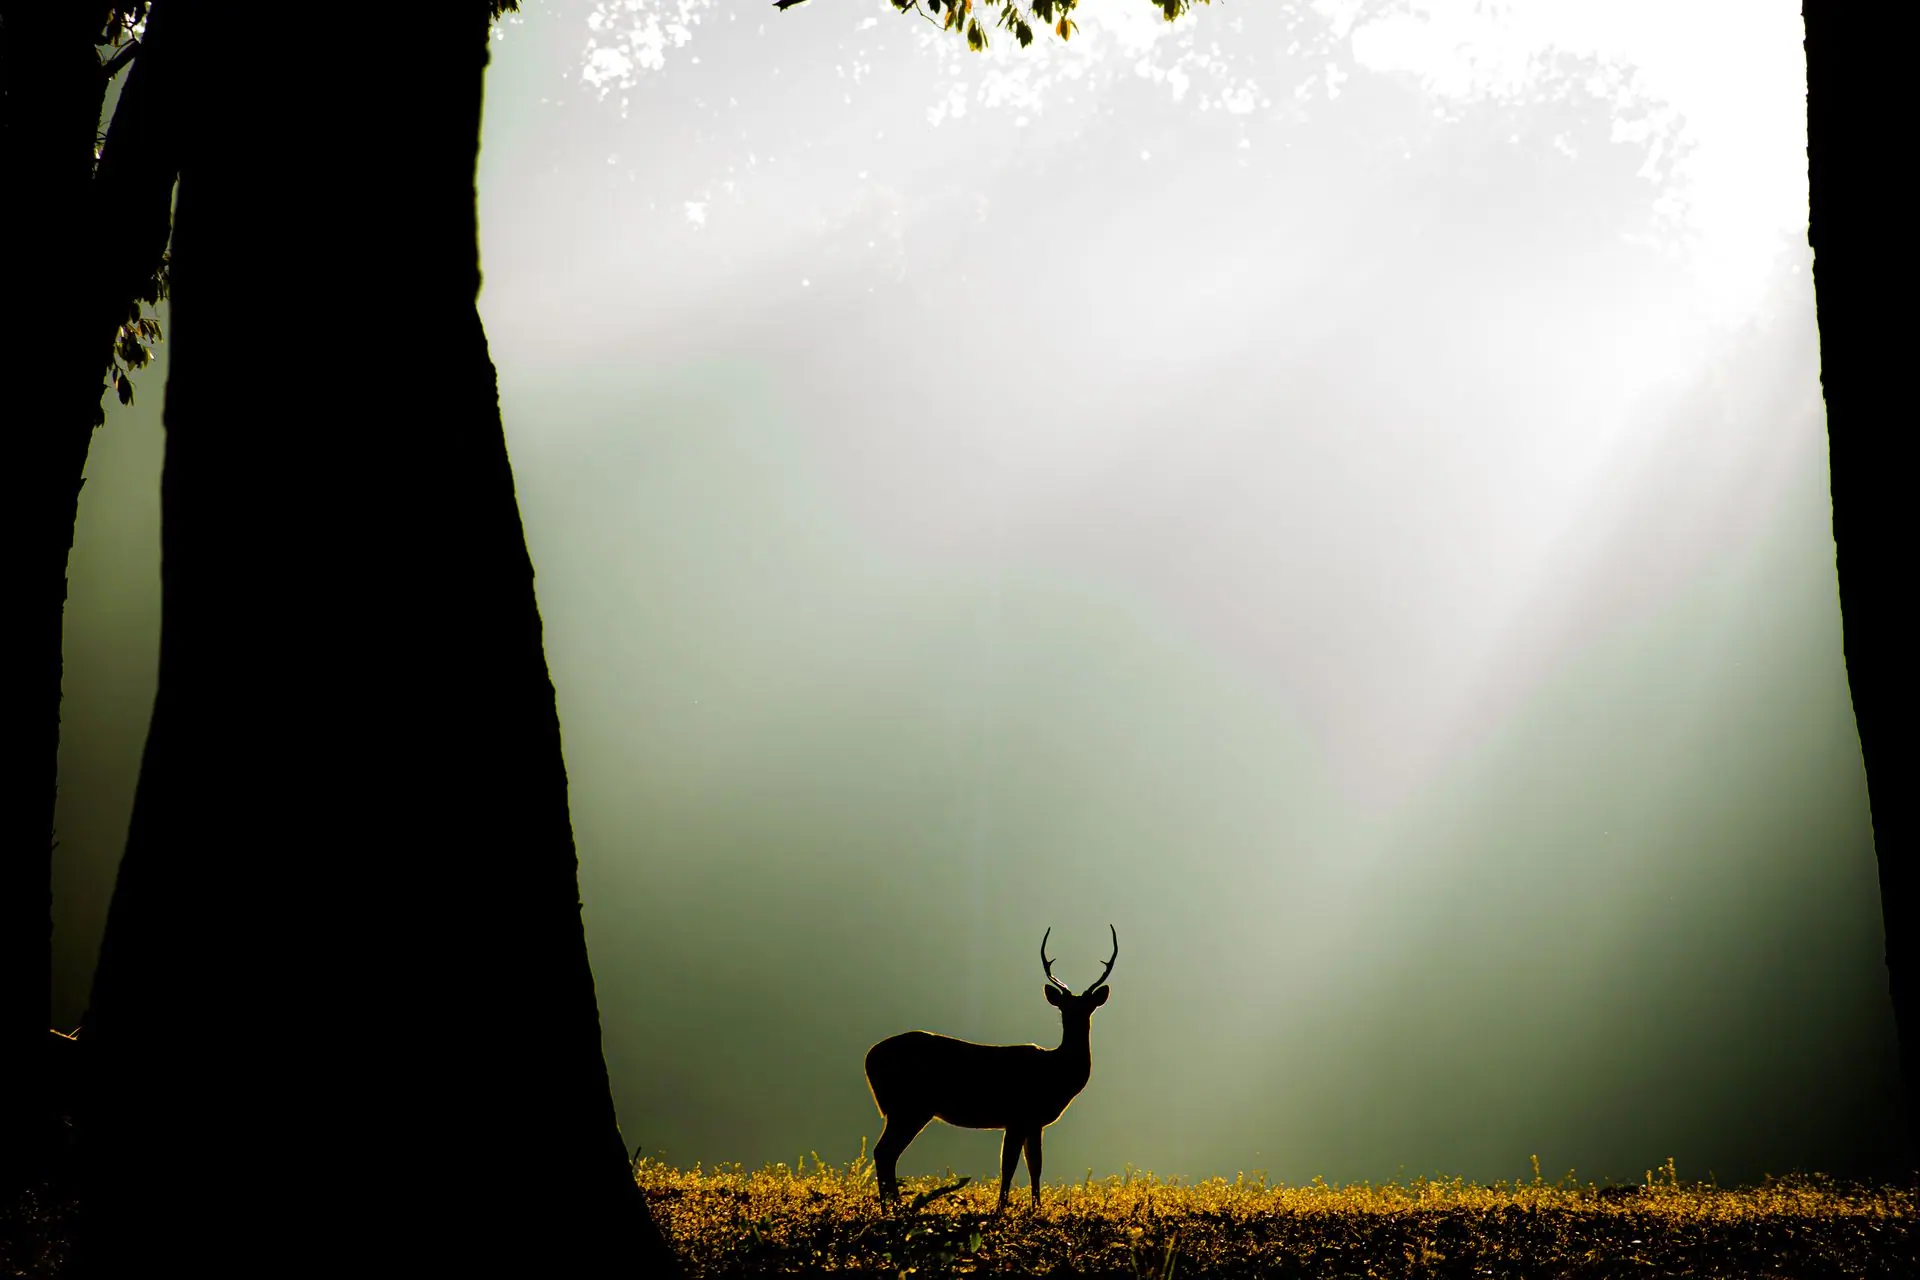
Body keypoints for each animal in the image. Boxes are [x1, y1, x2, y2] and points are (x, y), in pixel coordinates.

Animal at [863, 925, 1117, 1213]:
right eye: (1064, 1009)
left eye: (1088, 1008)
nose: (1074, 1021)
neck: (1056, 1072)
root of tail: (869, 1057)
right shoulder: (1018, 1115)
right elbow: (1008, 1166)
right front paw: (1001, 1209)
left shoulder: (1033, 1122)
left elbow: (1035, 1166)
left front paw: (1036, 1208)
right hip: (910, 1106)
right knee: (884, 1152)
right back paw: (893, 1209)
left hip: (905, 1108)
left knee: (885, 1153)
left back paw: (893, 1208)